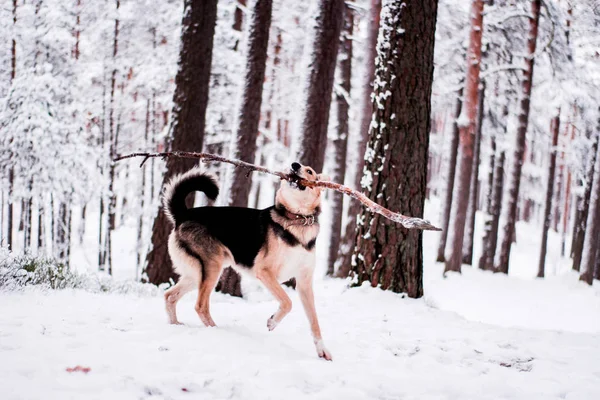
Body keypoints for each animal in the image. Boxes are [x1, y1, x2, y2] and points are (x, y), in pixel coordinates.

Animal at [162, 161, 332, 360]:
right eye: (292, 166)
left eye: (310, 171)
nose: (294, 165)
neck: (298, 220)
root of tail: (183, 215)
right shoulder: (264, 272)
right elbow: (287, 302)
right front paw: (272, 322)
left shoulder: (304, 283)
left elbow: (314, 321)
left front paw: (322, 350)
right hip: (212, 267)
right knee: (200, 306)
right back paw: (217, 331)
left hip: (195, 273)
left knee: (170, 296)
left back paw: (174, 324)